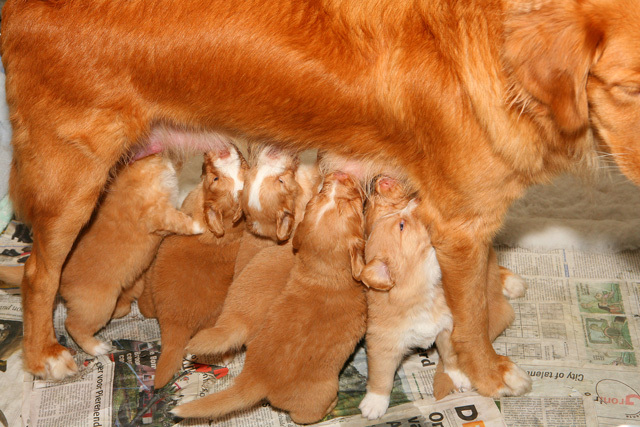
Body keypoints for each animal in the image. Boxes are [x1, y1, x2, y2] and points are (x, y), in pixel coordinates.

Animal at [172, 171, 368, 424]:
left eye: (320, 196)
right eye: (353, 206)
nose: (341, 174)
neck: (324, 273)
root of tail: (254, 379)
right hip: (322, 391)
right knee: (303, 416)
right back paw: (331, 405)